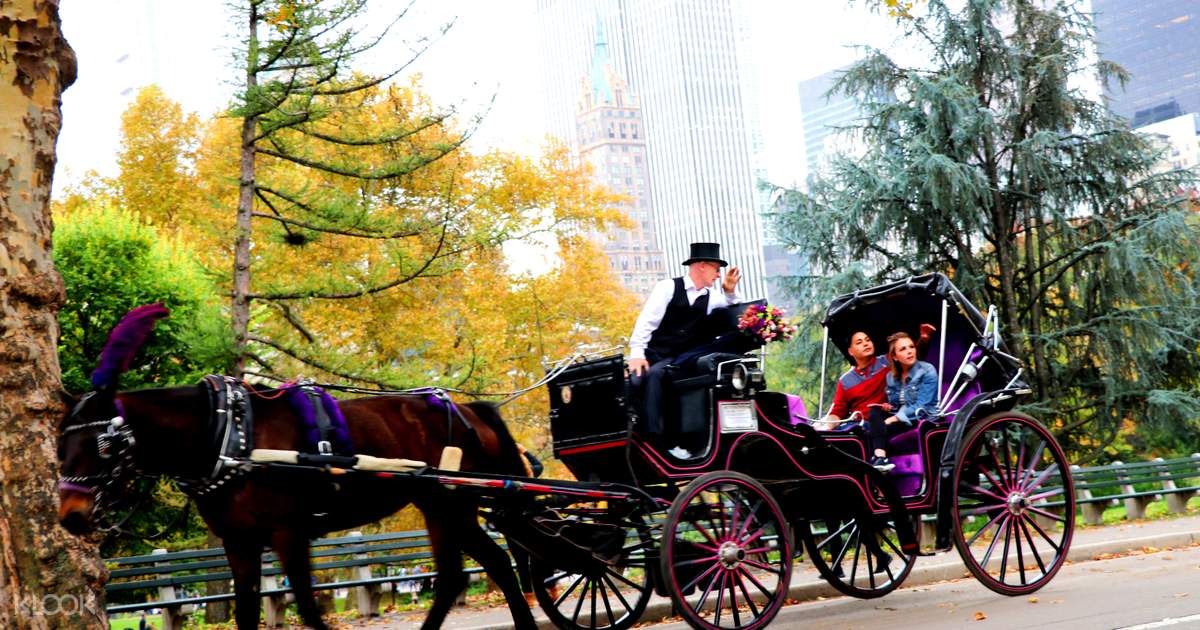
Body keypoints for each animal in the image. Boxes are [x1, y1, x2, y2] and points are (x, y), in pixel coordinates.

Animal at [56, 304, 535, 628]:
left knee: (479, 569)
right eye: (60, 445)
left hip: (450, 505)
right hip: (442, 505)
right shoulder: (239, 540)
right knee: (474, 570)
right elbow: (247, 610)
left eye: (103, 444)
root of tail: (467, 410)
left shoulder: (288, 532)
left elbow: (305, 604)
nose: (71, 516)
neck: (229, 432)